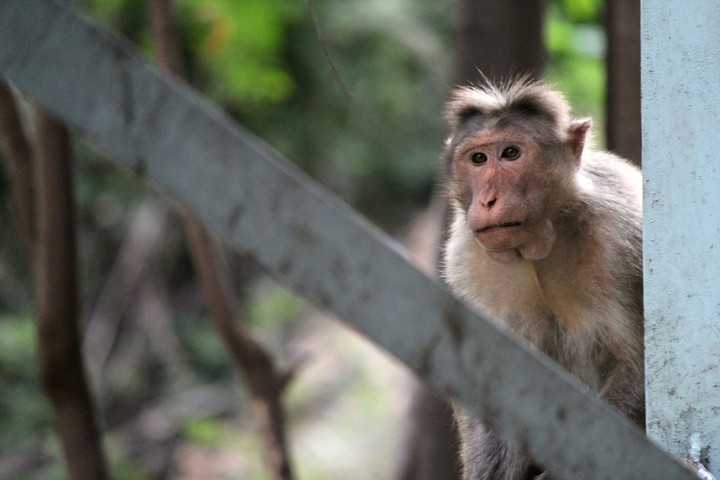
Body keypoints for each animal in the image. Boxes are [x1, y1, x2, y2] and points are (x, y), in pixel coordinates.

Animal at [441, 78, 644, 480]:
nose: (487, 200)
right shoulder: (466, 260)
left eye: (510, 153)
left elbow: (641, 369)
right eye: (478, 159)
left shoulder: (624, 234)